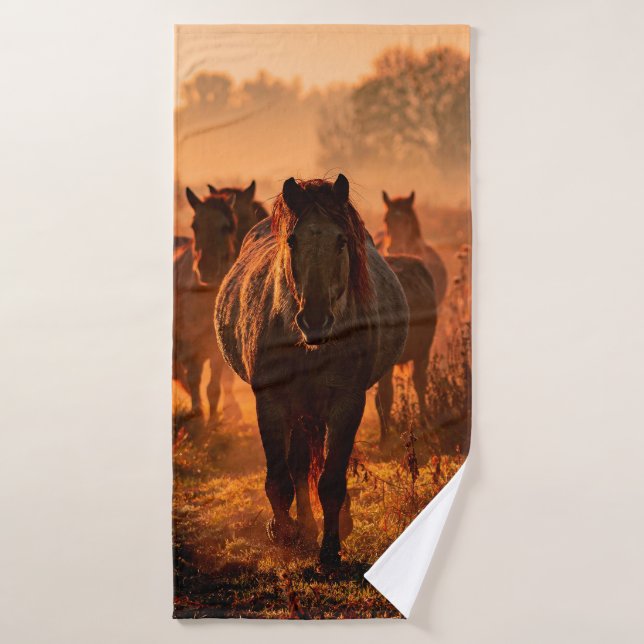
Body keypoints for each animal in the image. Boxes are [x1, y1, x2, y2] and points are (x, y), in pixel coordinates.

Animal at [173, 187, 236, 426]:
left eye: (226, 227)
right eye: (195, 225)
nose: (206, 270)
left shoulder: (216, 348)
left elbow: (214, 387)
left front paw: (214, 420)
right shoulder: (190, 344)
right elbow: (194, 380)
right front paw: (198, 414)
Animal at [215, 175, 409, 566]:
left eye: (341, 240)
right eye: (292, 240)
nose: (315, 319)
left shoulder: (347, 402)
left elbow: (332, 480)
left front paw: (330, 550)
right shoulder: (271, 400)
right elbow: (280, 479)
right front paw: (284, 533)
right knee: (299, 466)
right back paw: (302, 527)